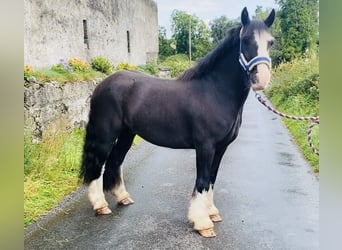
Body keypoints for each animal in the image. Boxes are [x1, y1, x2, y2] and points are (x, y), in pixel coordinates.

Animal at [81, 7, 276, 237]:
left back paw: (122, 197)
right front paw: (202, 223)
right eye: (245, 40)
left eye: (270, 42)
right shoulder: (205, 147)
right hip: (106, 135)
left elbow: (212, 179)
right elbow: (202, 180)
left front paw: (212, 213)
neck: (215, 92)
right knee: (99, 165)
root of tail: (102, 85)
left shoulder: (221, 148)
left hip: (127, 134)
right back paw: (100, 205)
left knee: (115, 161)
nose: (261, 79)